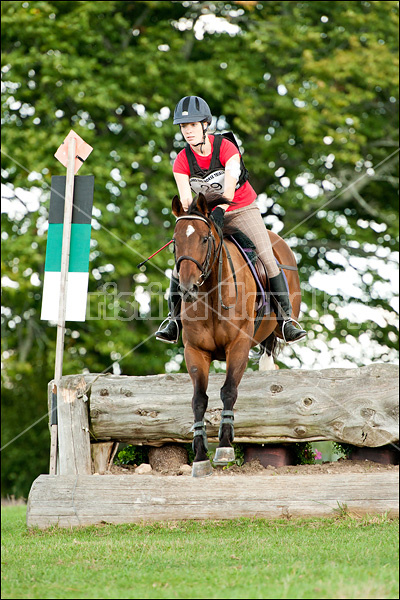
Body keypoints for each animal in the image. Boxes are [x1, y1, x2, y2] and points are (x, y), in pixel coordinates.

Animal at [171, 190, 300, 476]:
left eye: (205, 238)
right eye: (175, 243)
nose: (187, 288)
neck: (211, 294)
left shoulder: (239, 345)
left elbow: (228, 391)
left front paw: (224, 448)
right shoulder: (195, 351)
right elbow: (199, 400)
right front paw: (200, 457)